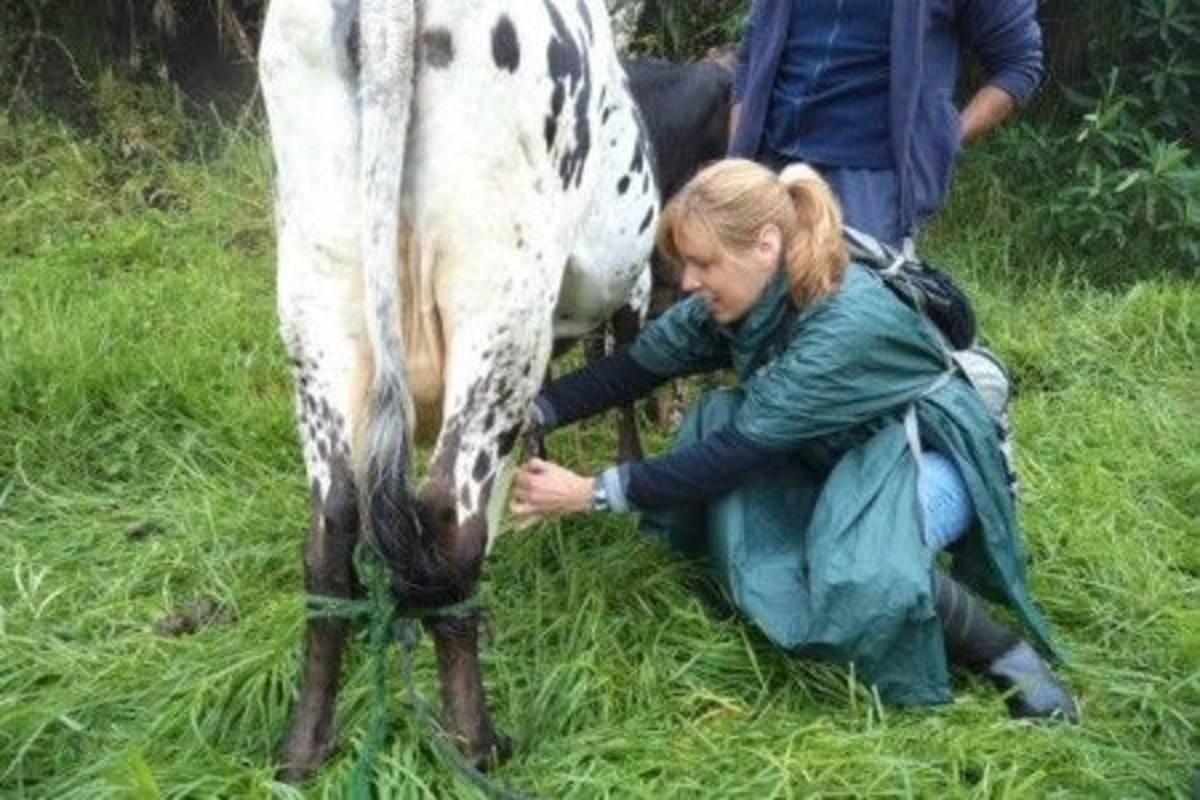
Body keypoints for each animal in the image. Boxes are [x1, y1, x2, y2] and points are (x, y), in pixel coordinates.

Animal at [258, 0, 660, 781]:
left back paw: (303, 748)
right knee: (448, 512)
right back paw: (476, 743)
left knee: (330, 529)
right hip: (502, 290)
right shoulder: (631, 283)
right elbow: (623, 379)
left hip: (315, 294)